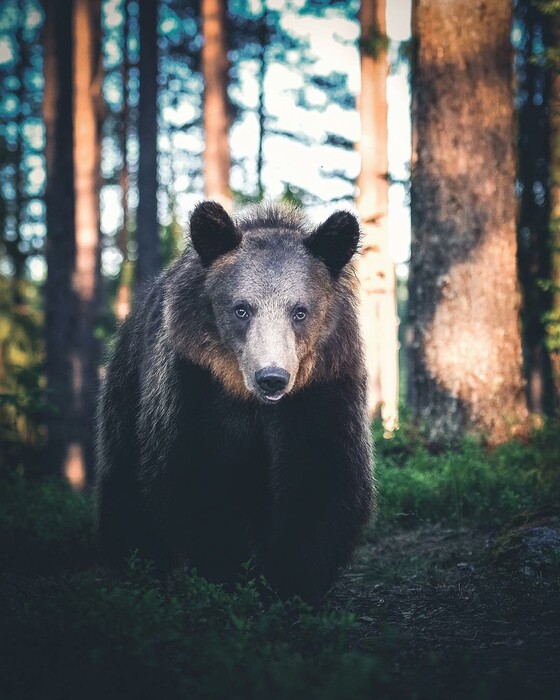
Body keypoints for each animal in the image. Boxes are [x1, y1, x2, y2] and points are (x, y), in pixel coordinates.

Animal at [95, 201, 376, 600]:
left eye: (300, 311)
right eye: (242, 308)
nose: (272, 377)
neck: (250, 399)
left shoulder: (321, 390)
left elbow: (322, 476)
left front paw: (291, 580)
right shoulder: (194, 387)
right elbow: (197, 478)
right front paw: (230, 573)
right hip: (127, 393)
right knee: (125, 485)